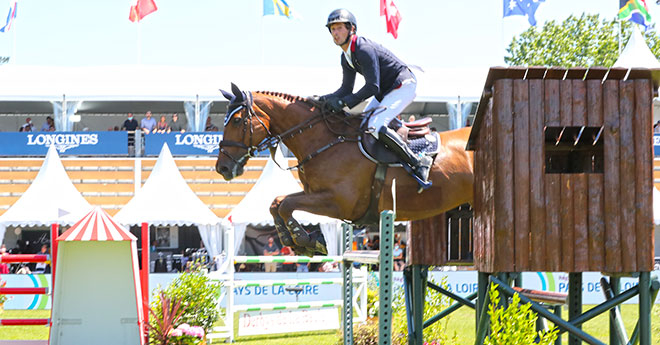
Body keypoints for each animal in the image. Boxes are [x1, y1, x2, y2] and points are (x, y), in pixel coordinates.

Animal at [217, 83, 474, 255]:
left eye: (237, 121)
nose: (222, 168)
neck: (324, 139)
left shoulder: (340, 203)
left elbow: (286, 204)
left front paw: (305, 240)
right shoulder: (314, 194)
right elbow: (277, 203)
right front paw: (294, 241)